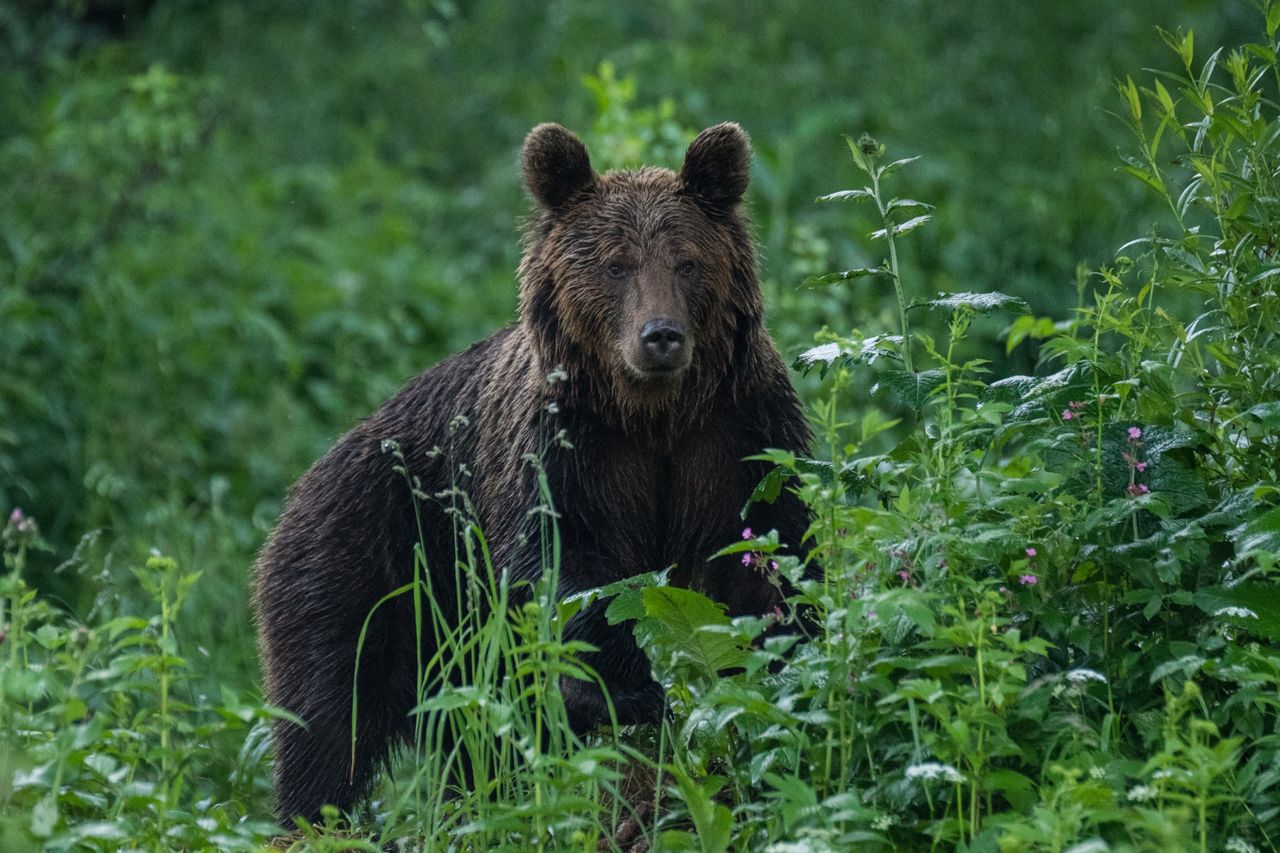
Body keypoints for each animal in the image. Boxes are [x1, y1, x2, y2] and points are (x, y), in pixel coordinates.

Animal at [250, 119, 808, 819]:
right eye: (615, 264)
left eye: (687, 262)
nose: (660, 336)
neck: (653, 418)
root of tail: (301, 484)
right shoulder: (561, 450)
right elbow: (561, 566)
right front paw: (622, 689)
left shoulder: (740, 436)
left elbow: (771, 554)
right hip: (368, 561)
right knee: (330, 717)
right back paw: (317, 817)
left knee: (472, 741)